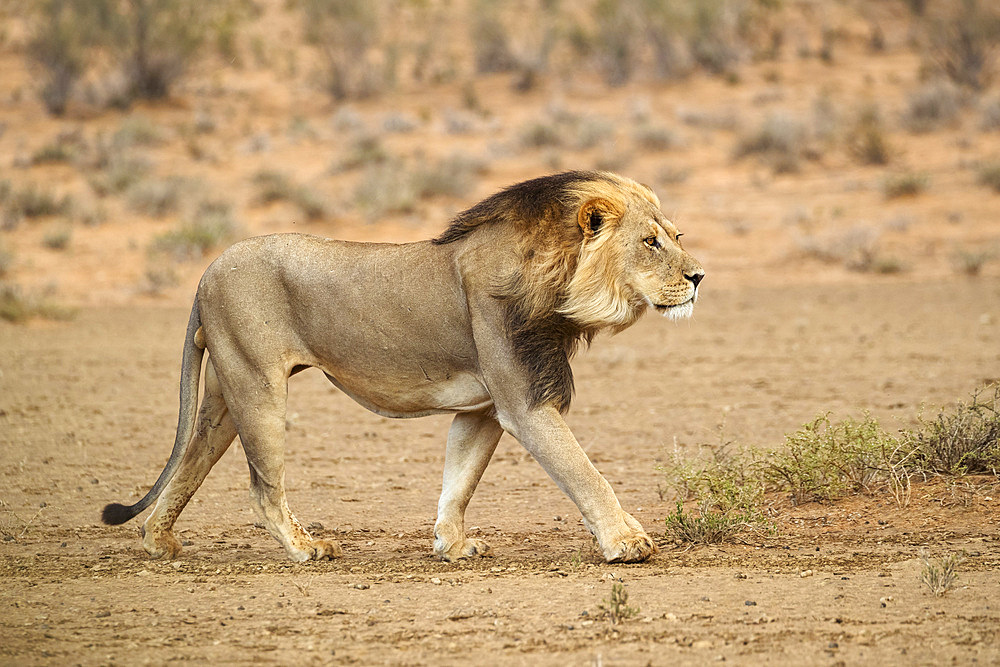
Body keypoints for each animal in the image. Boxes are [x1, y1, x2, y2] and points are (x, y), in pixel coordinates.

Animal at [101, 171, 704, 564]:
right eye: (650, 243)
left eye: (677, 236)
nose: (700, 276)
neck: (559, 281)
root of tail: (206, 271)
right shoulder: (525, 404)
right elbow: (584, 471)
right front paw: (626, 543)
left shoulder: (484, 409)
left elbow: (458, 480)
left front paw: (451, 545)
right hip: (257, 386)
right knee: (262, 487)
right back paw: (306, 548)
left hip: (227, 392)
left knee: (192, 458)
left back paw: (159, 541)